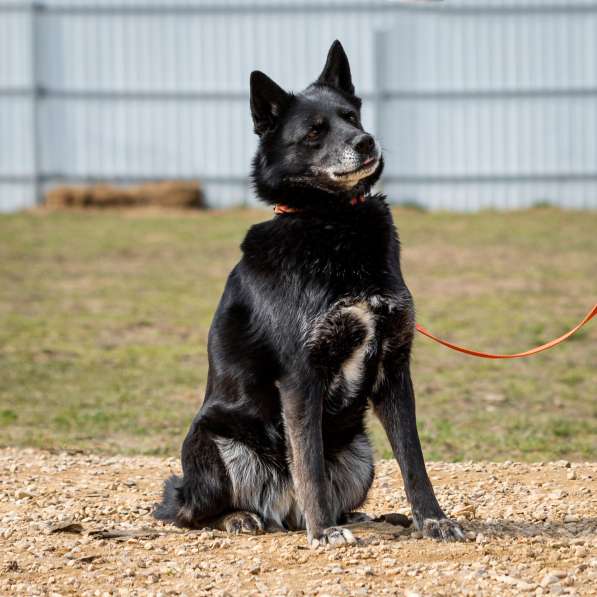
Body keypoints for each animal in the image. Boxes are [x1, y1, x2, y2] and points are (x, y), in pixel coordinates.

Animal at [155, 40, 466, 544]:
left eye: (351, 117)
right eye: (314, 132)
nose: (366, 141)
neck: (335, 222)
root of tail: (281, 513)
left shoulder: (395, 368)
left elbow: (414, 460)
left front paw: (433, 518)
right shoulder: (302, 375)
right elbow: (309, 463)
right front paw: (323, 532)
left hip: (360, 454)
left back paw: (356, 516)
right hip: (213, 442)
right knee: (189, 512)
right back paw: (245, 518)